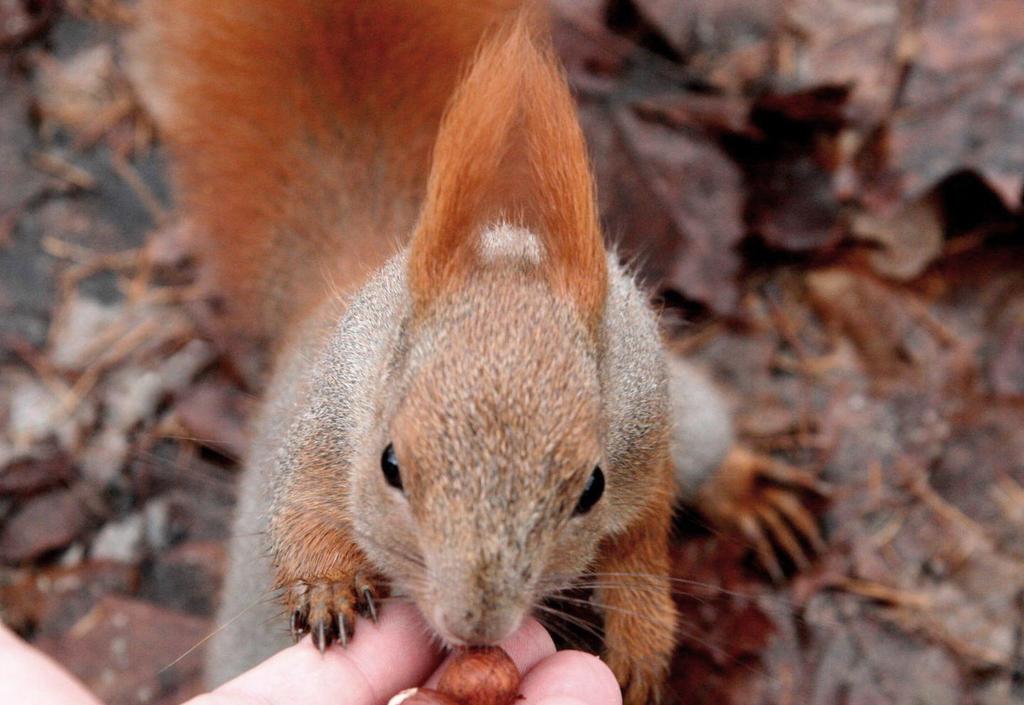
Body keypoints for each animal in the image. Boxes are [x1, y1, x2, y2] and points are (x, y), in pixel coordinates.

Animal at [132, 1, 827, 705]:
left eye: (591, 488)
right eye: (390, 465)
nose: (475, 623)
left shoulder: (643, 431)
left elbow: (640, 539)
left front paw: (641, 635)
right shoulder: (332, 421)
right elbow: (302, 510)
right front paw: (325, 586)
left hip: (686, 408)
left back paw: (749, 491)